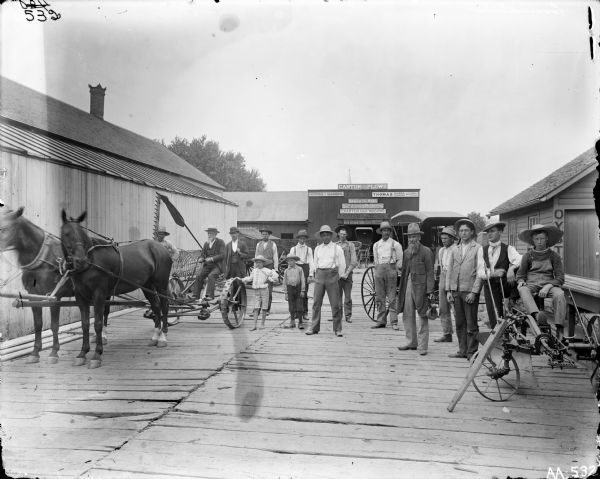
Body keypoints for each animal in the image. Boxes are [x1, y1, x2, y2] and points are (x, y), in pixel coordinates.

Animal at [0, 206, 112, 364]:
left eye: (4, 228)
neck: (43, 260)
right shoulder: (33, 296)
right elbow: (38, 324)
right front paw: (35, 352)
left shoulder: (55, 297)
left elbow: (54, 325)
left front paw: (54, 352)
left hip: (104, 291)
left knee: (105, 311)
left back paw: (104, 336)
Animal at [60, 208, 171, 370]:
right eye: (66, 233)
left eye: (82, 233)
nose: (80, 260)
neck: (92, 261)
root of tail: (160, 247)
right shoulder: (81, 297)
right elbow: (85, 324)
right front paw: (82, 354)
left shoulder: (99, 295)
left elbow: (98, 323)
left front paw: (96, 355)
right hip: (147, 285)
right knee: (156, 306)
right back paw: (155, 337)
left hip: (161, 284)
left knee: (164, 306)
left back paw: (163, 337)